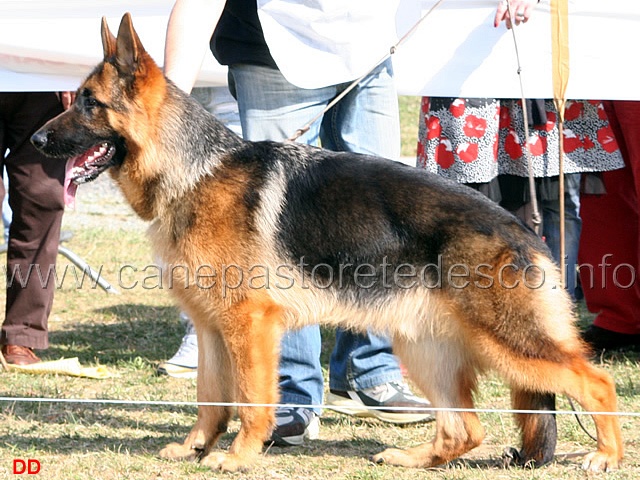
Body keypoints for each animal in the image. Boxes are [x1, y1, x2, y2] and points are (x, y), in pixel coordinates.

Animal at [32, 14, 624, 472]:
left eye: (89, 103)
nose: (36, 139)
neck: (194, 169)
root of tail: (526, 232)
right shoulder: (210, 327)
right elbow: (210, 397)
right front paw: (195, 447)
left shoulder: (248, 325)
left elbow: (251, 399)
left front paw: (238, 456)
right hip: (423, 345)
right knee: (465, 430)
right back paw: (413, 459)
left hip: (508, 343)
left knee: (595, 382)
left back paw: (605, 456)